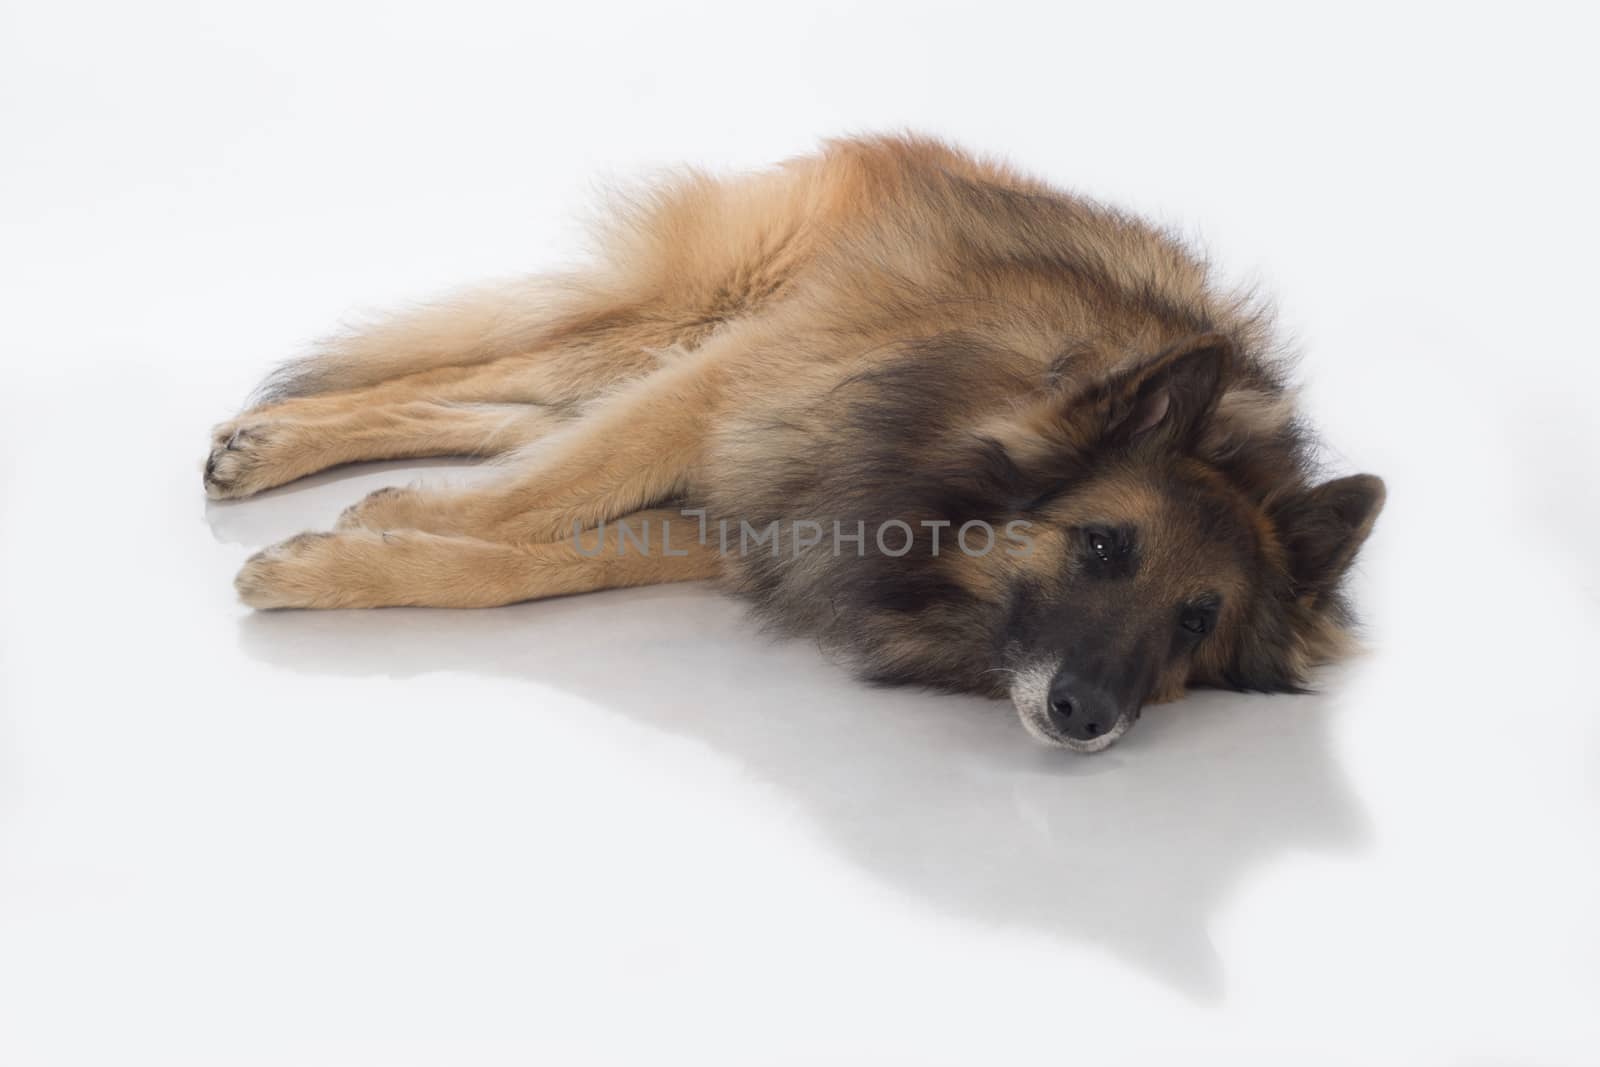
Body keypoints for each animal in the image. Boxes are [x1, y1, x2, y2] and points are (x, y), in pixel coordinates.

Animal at [209, 135, 1388, 751]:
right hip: (693, 321)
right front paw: (401, 520)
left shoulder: (765, 514)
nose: (1084, 717)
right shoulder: (734, 388)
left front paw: (366, 550)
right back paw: (272, 442)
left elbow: (546, 555)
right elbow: (550, 491)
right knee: (491, 384)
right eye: (1103, 546)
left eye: (1198, 619)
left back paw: (269, 442)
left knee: (508, 415)